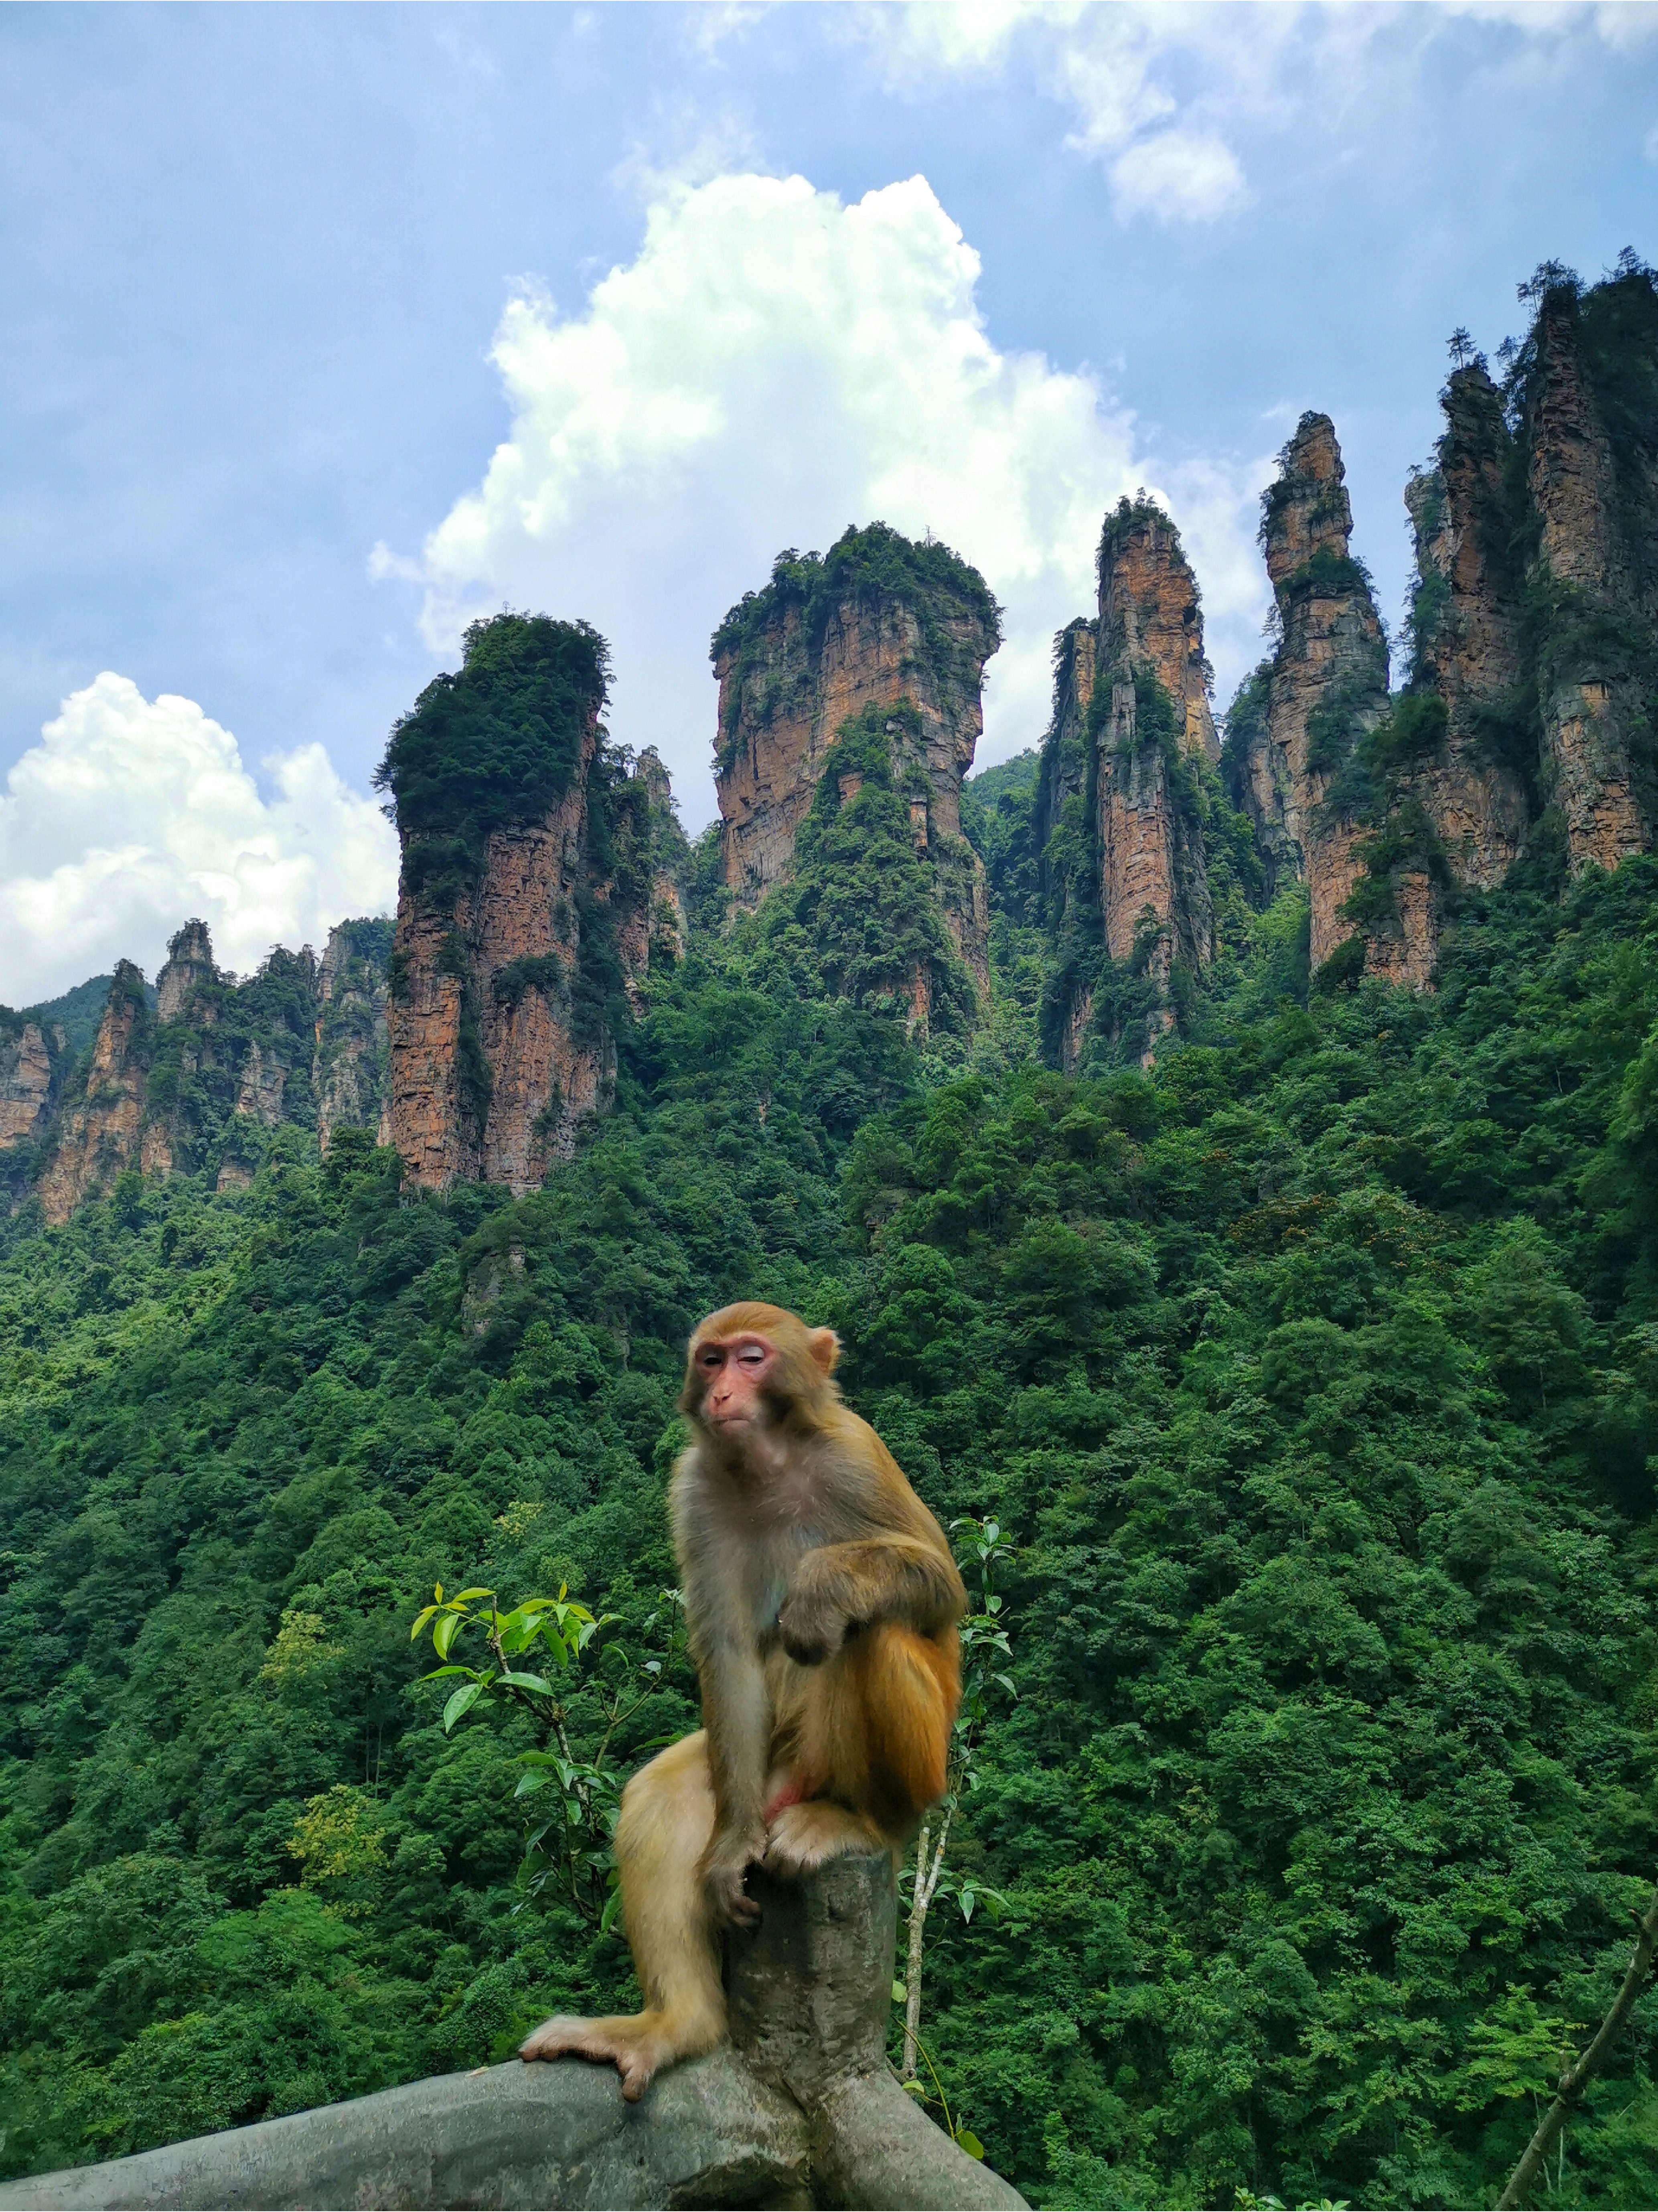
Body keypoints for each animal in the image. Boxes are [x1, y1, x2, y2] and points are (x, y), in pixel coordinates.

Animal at [511, 1300, 965, 2097]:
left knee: (874, 1632)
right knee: (662, 1797)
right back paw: (672, 2026)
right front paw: (724, 1860)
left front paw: (823, 1586)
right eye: (711, 1360)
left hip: (910, 1760)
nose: (722, 1392)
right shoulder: (694, 1488)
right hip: (759, 1774)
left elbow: (940, 1585)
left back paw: (864, 1822)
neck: (769, 1465)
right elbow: (725, 1652)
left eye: (752, 1359)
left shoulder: (855, 1452)